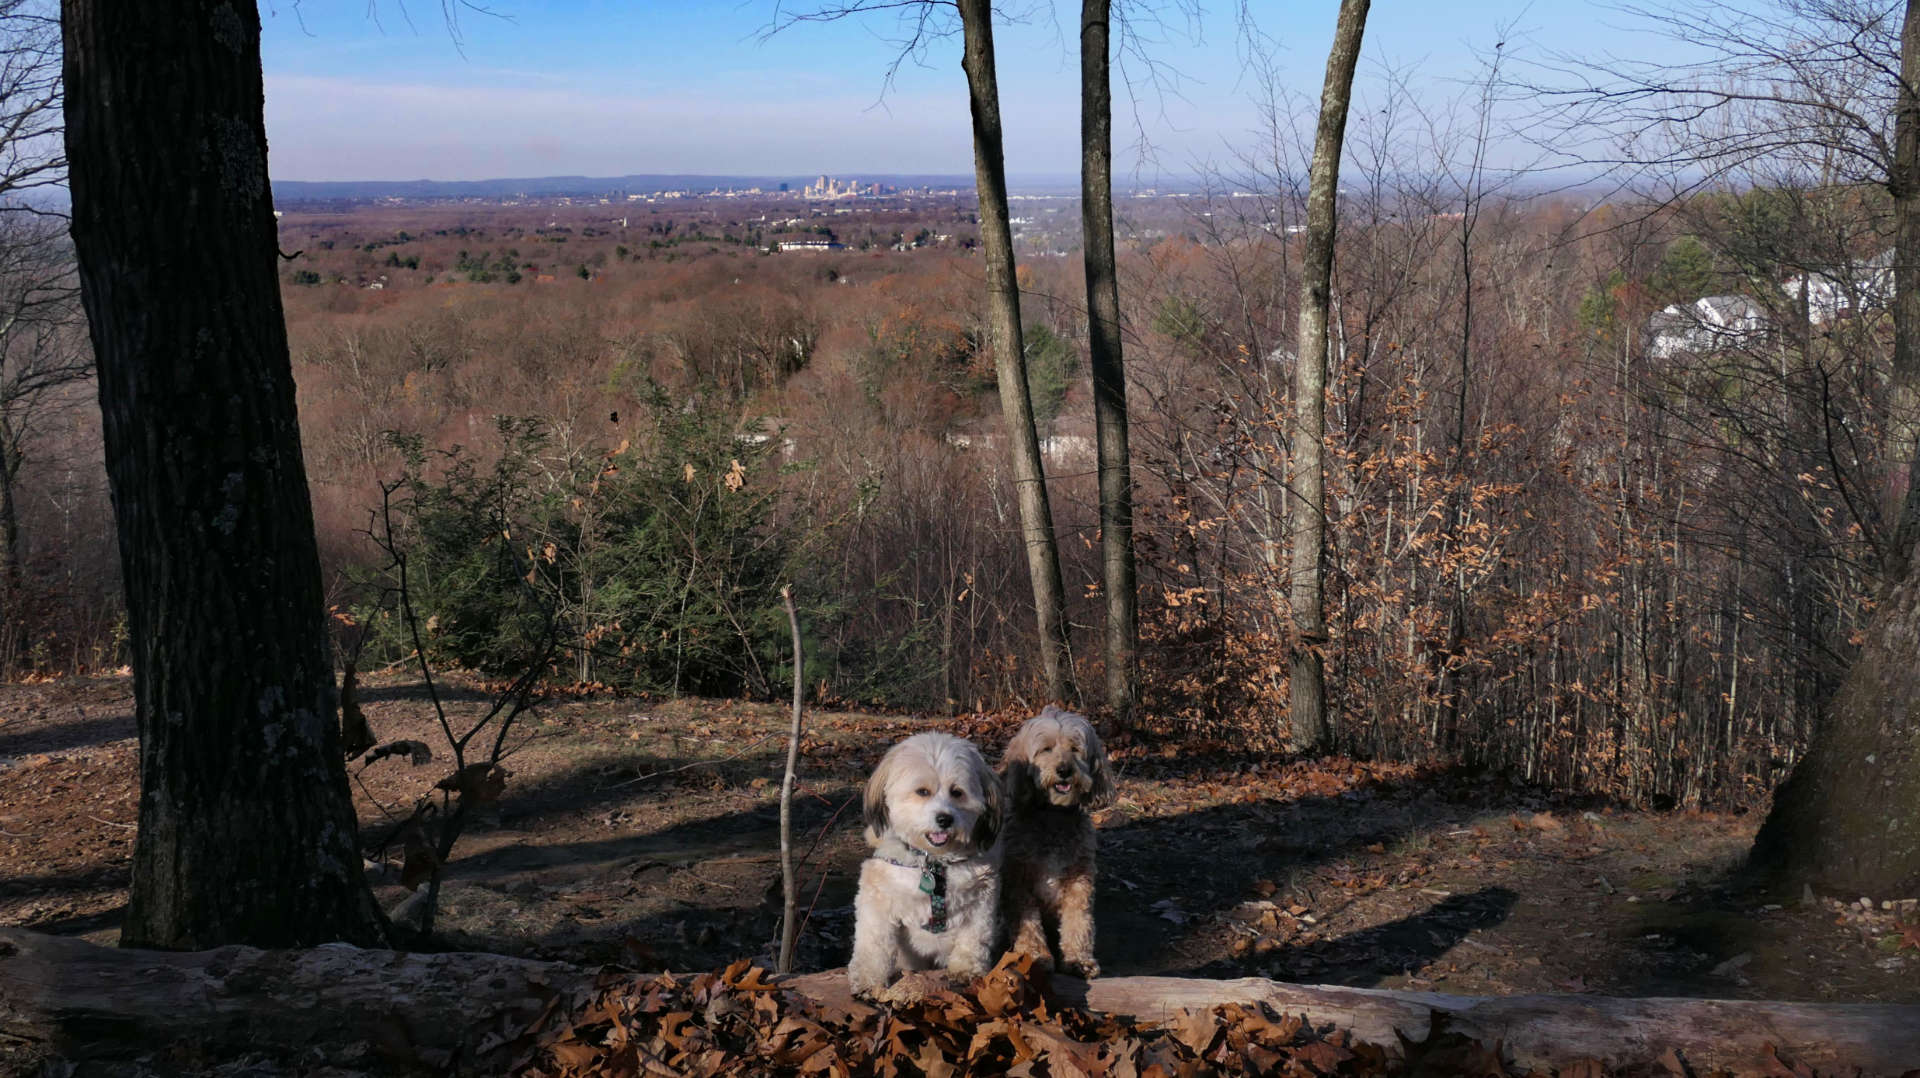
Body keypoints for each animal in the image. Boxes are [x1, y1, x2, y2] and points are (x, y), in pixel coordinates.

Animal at [852, 726, 1013, 999]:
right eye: (922, 792)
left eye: (957, 792)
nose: (944, 819)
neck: (934, 865)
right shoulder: (877, 899)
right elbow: (872, 943)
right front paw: (867, 979)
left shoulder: (982, 899)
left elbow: (973, 937)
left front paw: (967, 968)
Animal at [998, 703, 1121, 980]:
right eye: (1045, 749)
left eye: (1075, 748)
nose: (1064, 770)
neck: (1053, 815)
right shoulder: (1019, 881)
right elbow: (1028, 925)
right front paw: (1034, 957)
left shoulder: (1079, 879)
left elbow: (1078, 921)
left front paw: (1078, 960)